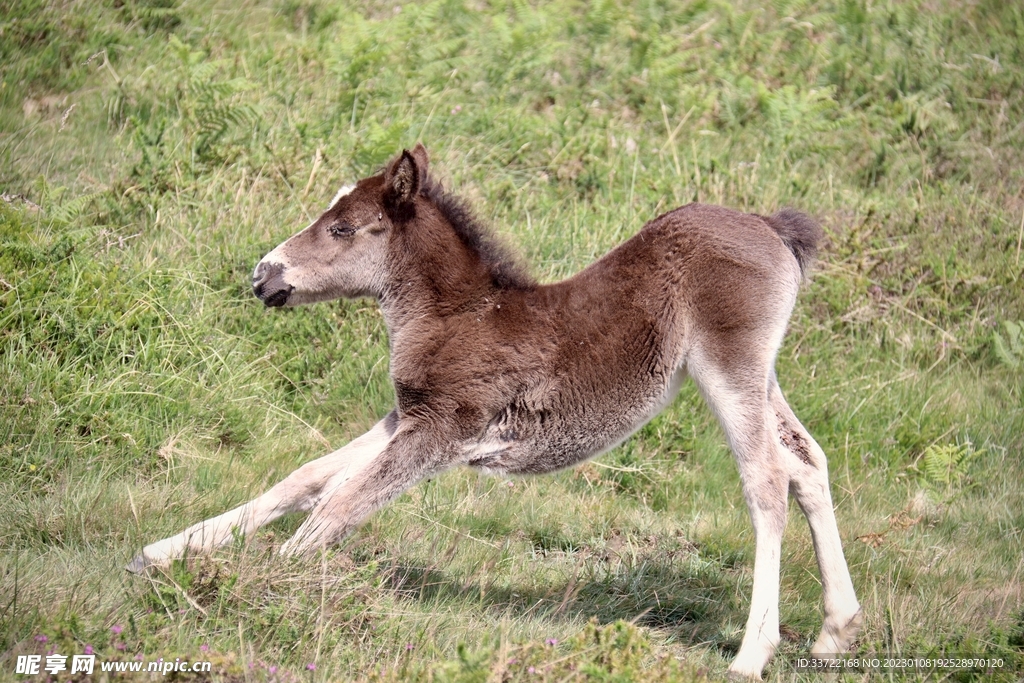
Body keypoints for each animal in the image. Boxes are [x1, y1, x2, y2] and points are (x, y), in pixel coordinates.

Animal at [130, 144, 862, 679]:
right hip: (763, 377)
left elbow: (343, 502)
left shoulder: (444, 429)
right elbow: (308, 477)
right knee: (808, 464)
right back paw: (835, 631)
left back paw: (751, 653)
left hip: (730, 368)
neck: (457, 315)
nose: (263, 276)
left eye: (340, 227)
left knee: (766, 481)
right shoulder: (407, 416)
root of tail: (771, 226)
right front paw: (166, 553)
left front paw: (256, 582)